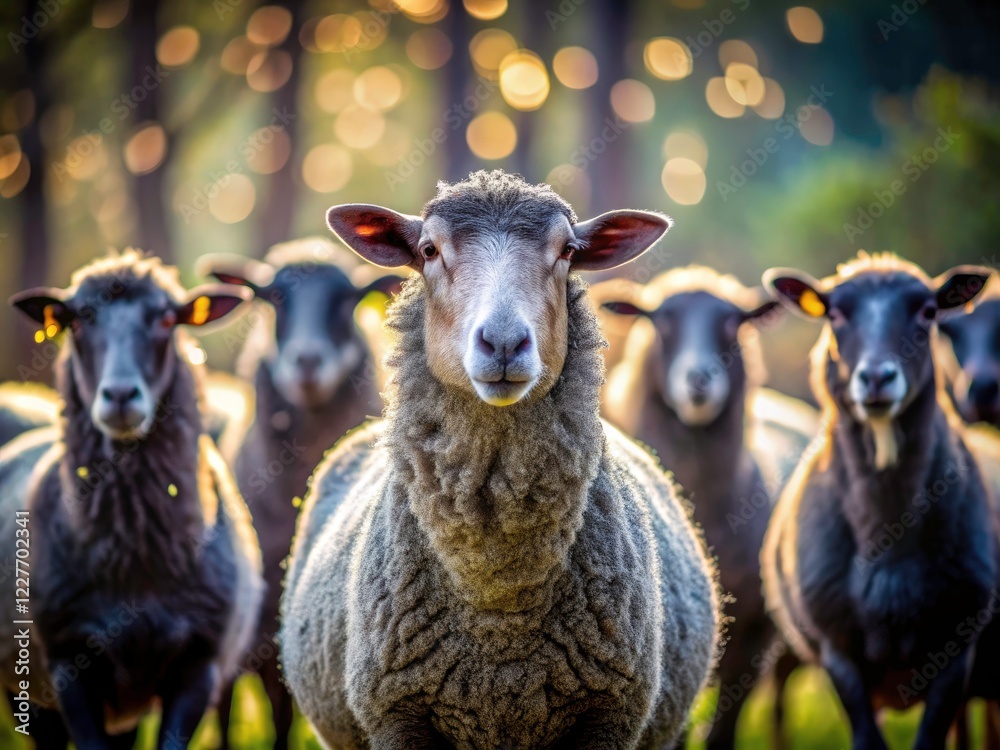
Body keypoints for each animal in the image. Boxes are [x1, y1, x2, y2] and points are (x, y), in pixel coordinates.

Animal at [0, 250, 263, 748]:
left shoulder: (200, 662)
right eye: (77, 320)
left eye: (167, 319)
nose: (120, 394)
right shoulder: (67, 663)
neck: (136, 558)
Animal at [280, 170, 720, 750]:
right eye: (428, 250)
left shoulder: (609, 715)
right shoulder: (397, 714)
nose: (505, 342)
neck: (499, 598)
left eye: (568, 251)